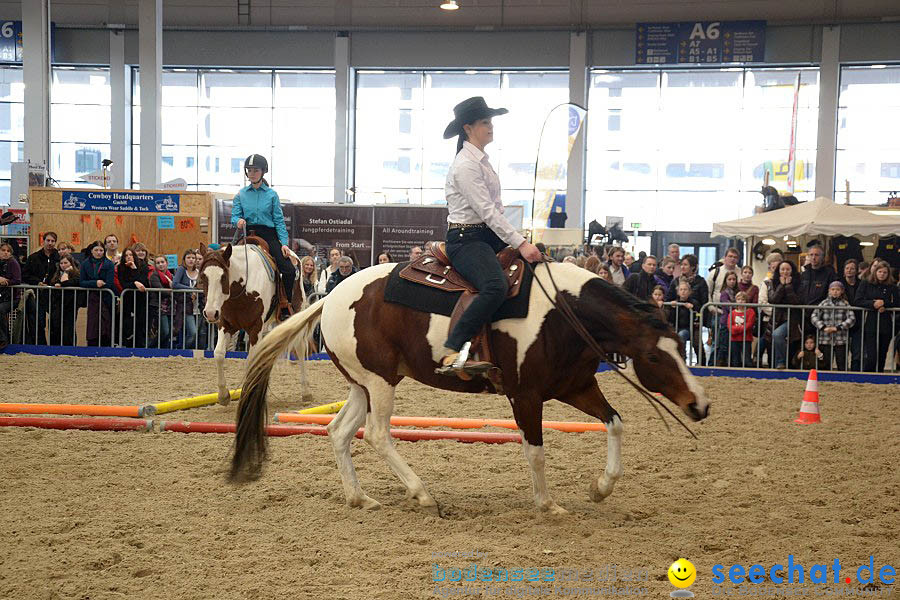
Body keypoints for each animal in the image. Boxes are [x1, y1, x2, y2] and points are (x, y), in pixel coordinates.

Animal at [197, 241, 310, 406]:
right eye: (203, 276)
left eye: (223, 276)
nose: (210, 313)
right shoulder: (226, 325)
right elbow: (218, 354)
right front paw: (223, 395)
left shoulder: (255, 327)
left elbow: (250, 360)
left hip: (296, 314)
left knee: (300, 347)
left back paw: (306, 392)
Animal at [232, 262, 712, 516]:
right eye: (654, 357)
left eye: (681, 345)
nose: (700, 405)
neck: (563, 312)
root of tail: (329, 298)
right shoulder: (526, 396)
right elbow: (536, 451)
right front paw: (547, 505)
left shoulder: (576, 386)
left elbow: (615, 423)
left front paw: (602, 487)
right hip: (379, 384)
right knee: (378, 434)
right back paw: (422, 493)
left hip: (364, 384)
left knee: (338, 432)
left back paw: (360, 497)